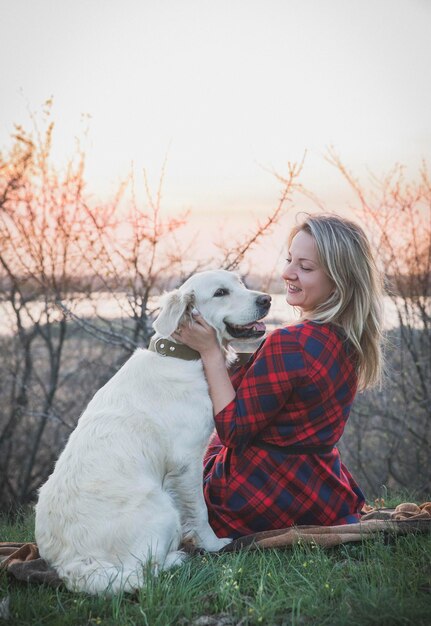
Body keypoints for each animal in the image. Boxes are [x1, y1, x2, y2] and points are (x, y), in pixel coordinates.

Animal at [34, 268, 270, 588]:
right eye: (221, 292)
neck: (183, 355)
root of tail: (71, 564)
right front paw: (213, 544)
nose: (267, 299)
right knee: (144, 570)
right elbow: (200, 510)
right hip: (161, 508)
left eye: (241, 284)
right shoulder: (187, 461)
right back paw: (177, 557)